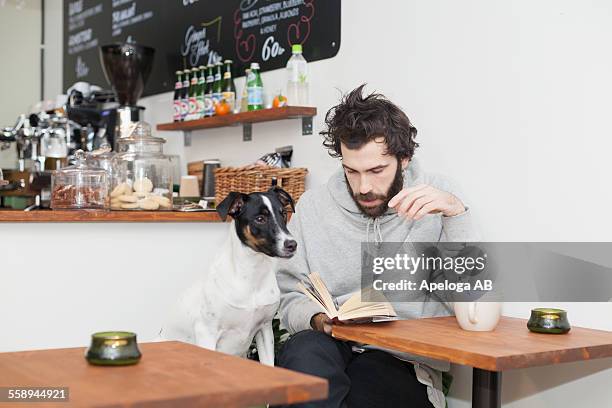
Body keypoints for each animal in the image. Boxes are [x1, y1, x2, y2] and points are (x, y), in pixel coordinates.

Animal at [160, 186, 296, 364]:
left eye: (284, 214)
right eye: (260, 219)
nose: (292, 244)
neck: (251, 275)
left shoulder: (265, 330)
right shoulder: (207, 332)